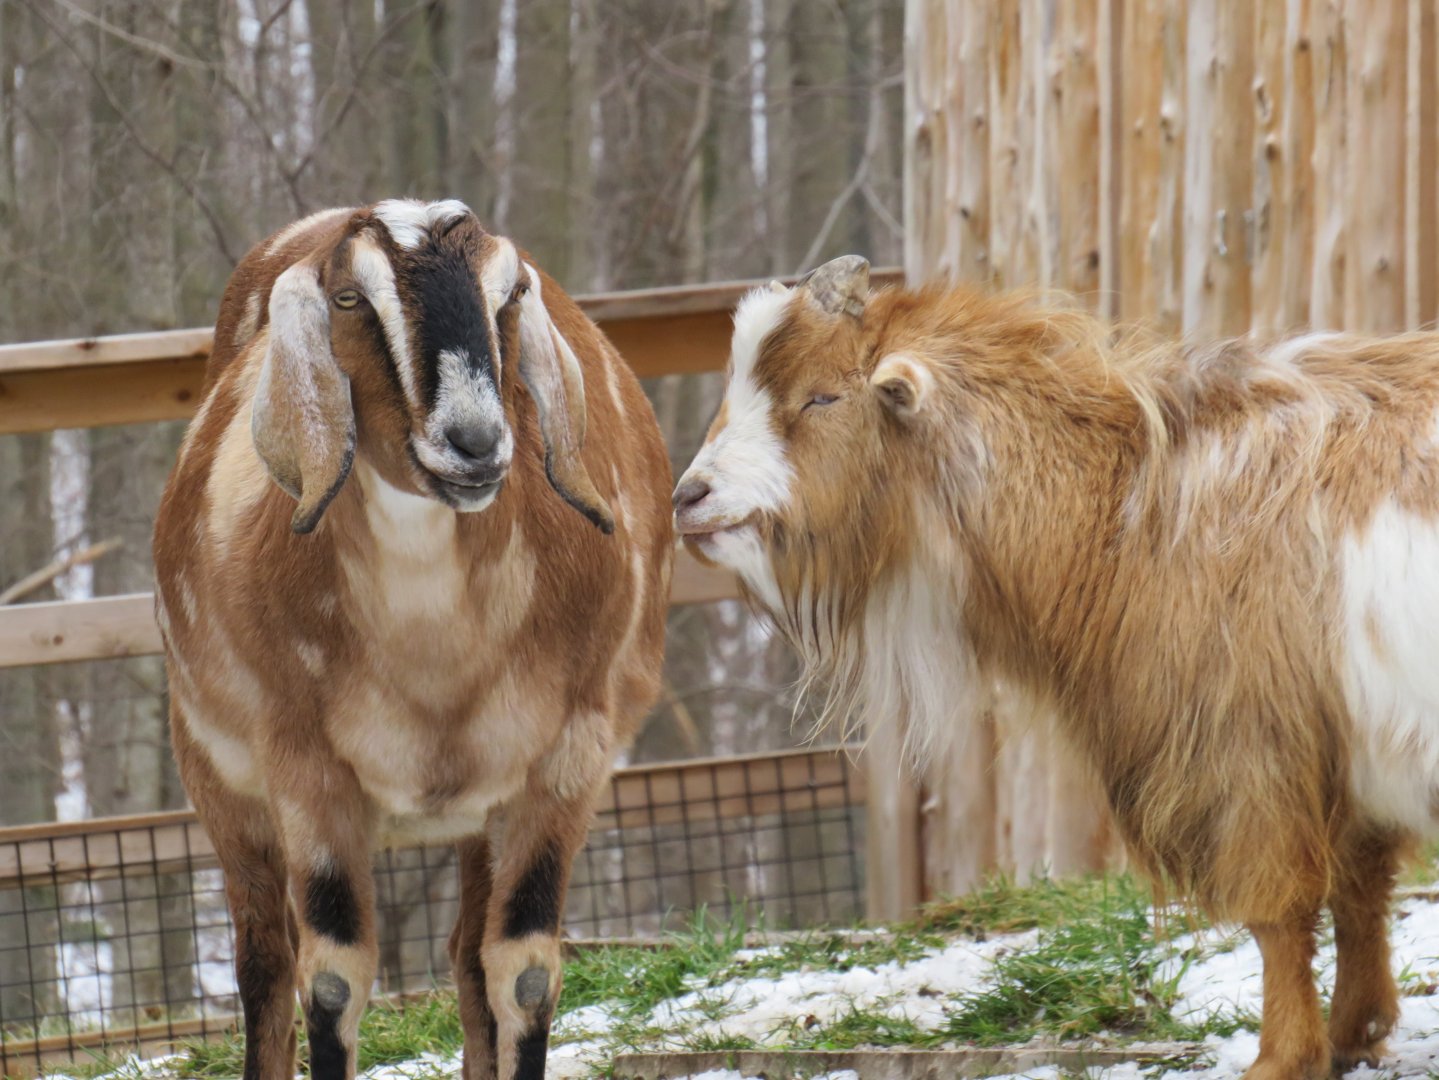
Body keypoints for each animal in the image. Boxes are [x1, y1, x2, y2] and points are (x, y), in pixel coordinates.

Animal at [152, 199, 673, 1080]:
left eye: (510, 293)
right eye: (348, 299)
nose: (474, 442)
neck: (435, 652)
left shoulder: (567, 756)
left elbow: (523, 972)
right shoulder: (304, 770)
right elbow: (331, 981)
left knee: (465, 951)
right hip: (216, 775)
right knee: (264, 963)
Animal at [673, 255, 1439, 1080]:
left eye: (821, 395)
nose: (688, 496)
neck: (1126, 499)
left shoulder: (1244, 751)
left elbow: (1279, 910)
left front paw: (1279, 1058)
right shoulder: (1339, 760)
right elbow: (1358, 890)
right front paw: (1351, 1034)